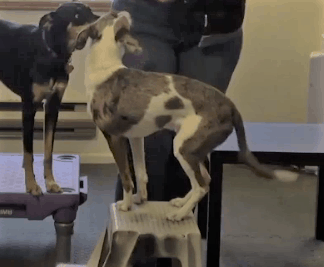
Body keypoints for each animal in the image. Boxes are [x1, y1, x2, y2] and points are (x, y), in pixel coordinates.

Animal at [0, 2, 99, 197]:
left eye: (90, 10)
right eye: (77, 15)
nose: (103, 18)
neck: (52, 53)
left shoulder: (53, 105)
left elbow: (48, 151)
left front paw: (51, 182)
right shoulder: (28, 107)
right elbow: (29, 153)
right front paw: (31, 185)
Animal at [76, 11, 298, 222]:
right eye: (114, 16)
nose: (127, 13)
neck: (106, 68)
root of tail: (231, 106)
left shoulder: (115, 137)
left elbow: (126, 177)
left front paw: (126, 205)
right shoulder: (136, 137)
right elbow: (140, 173)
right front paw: (141, 198)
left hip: (183, 148)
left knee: (202, 186)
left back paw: (180, 214)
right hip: (195, 149)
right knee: (206, 179)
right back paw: (181, 202)